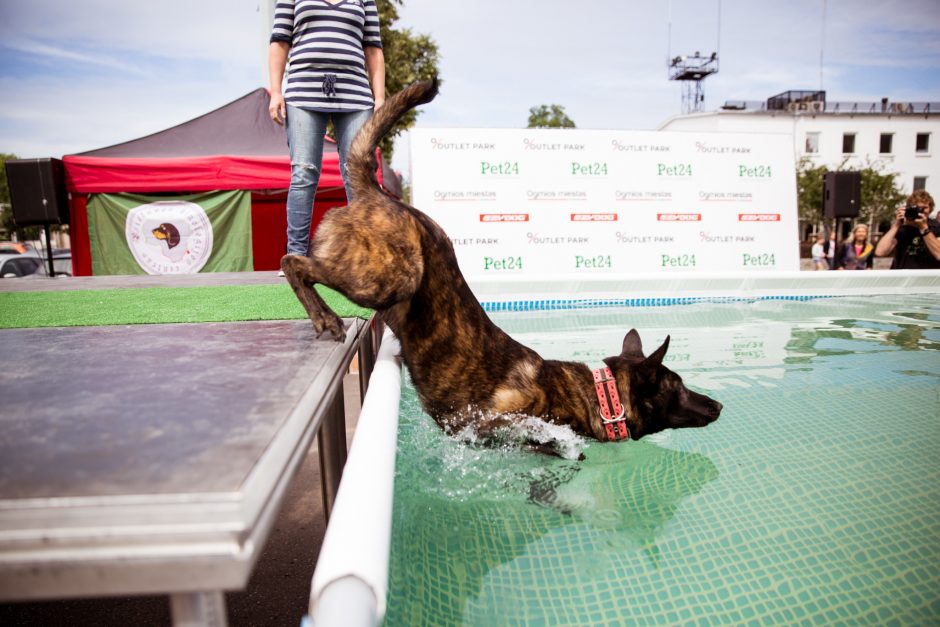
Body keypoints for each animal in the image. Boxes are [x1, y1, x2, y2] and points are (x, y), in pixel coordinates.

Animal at [282, 81, 724, 448]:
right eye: (678, 387)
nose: (718, 405)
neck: (598, 396)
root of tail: (377, 193)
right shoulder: (495, 423)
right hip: (391, 278)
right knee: (293, 261)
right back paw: (324, 317)